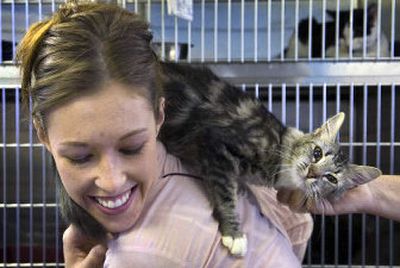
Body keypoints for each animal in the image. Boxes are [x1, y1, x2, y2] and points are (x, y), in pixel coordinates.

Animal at [158, 61, 382, 256]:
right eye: (317, 153)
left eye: (332, 178)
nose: (311, 172)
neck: (279, 145)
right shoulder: (216, 144)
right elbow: (225, 193)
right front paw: (234, 234)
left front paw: (240, 189)